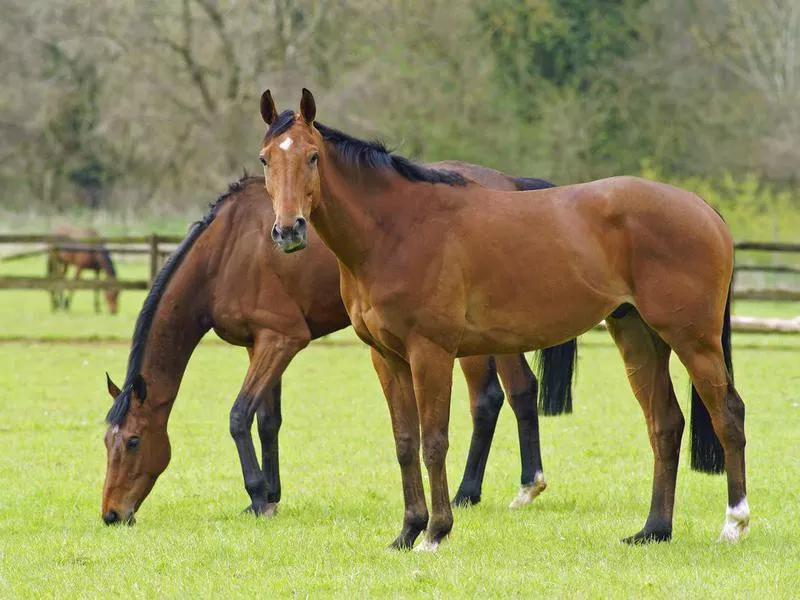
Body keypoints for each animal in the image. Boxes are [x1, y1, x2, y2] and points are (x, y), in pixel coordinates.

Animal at [101, 171, 576, 524]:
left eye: (134, 441)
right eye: (106, 442)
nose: (111, 514)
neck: (228, 251)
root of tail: (510, 184)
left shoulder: (282, 339)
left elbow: (239, 416)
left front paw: (257, 495)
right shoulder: (261, 344)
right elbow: (267, 420)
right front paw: (271, 493)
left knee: (496, 397)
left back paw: (482, 489)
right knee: (513, 394)